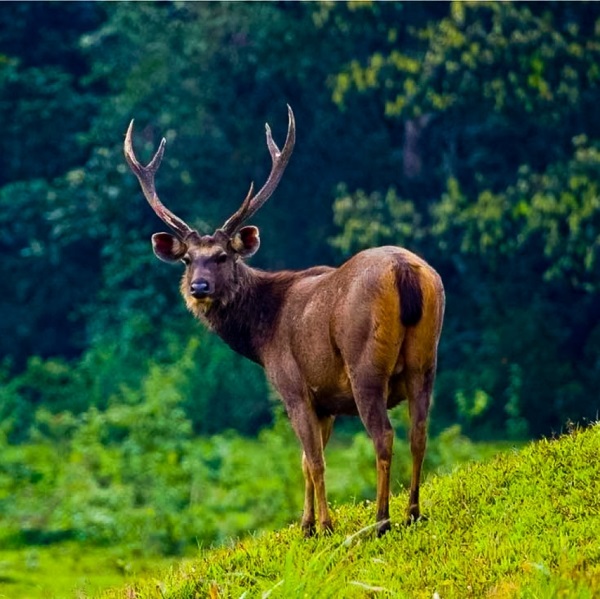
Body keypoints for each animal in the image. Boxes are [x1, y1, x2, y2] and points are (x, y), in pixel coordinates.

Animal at [124, 105, 446, 536]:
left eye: (223, 256)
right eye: (187, 259)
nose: (199, 287)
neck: (262, 337)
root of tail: (405, 271)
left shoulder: (293, 386)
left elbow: (315, 460)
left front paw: (324, 524)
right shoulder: (327, 400)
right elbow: (306, 461)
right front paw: (306, 523)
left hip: (365, 364)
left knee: (383, 436)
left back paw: (381, 520)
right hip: (426, 358)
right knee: (419, 431)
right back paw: (412, 511)